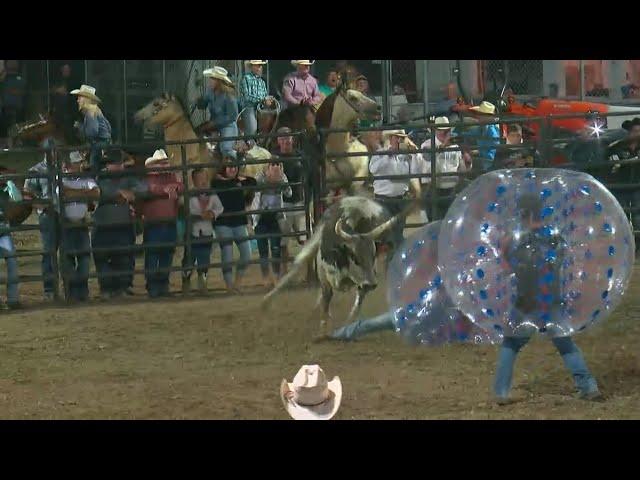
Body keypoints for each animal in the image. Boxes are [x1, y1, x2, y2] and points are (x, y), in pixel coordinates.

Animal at [262, 195, 416, 334]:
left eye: (373, 256)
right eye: (355, 257)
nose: (372, 284)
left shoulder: (367, 276)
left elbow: (358, 298)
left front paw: (349, 323)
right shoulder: (324, 272)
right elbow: (327, 295)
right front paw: (323, 326)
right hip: (315, 240)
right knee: (299, 264)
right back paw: (267, 301)